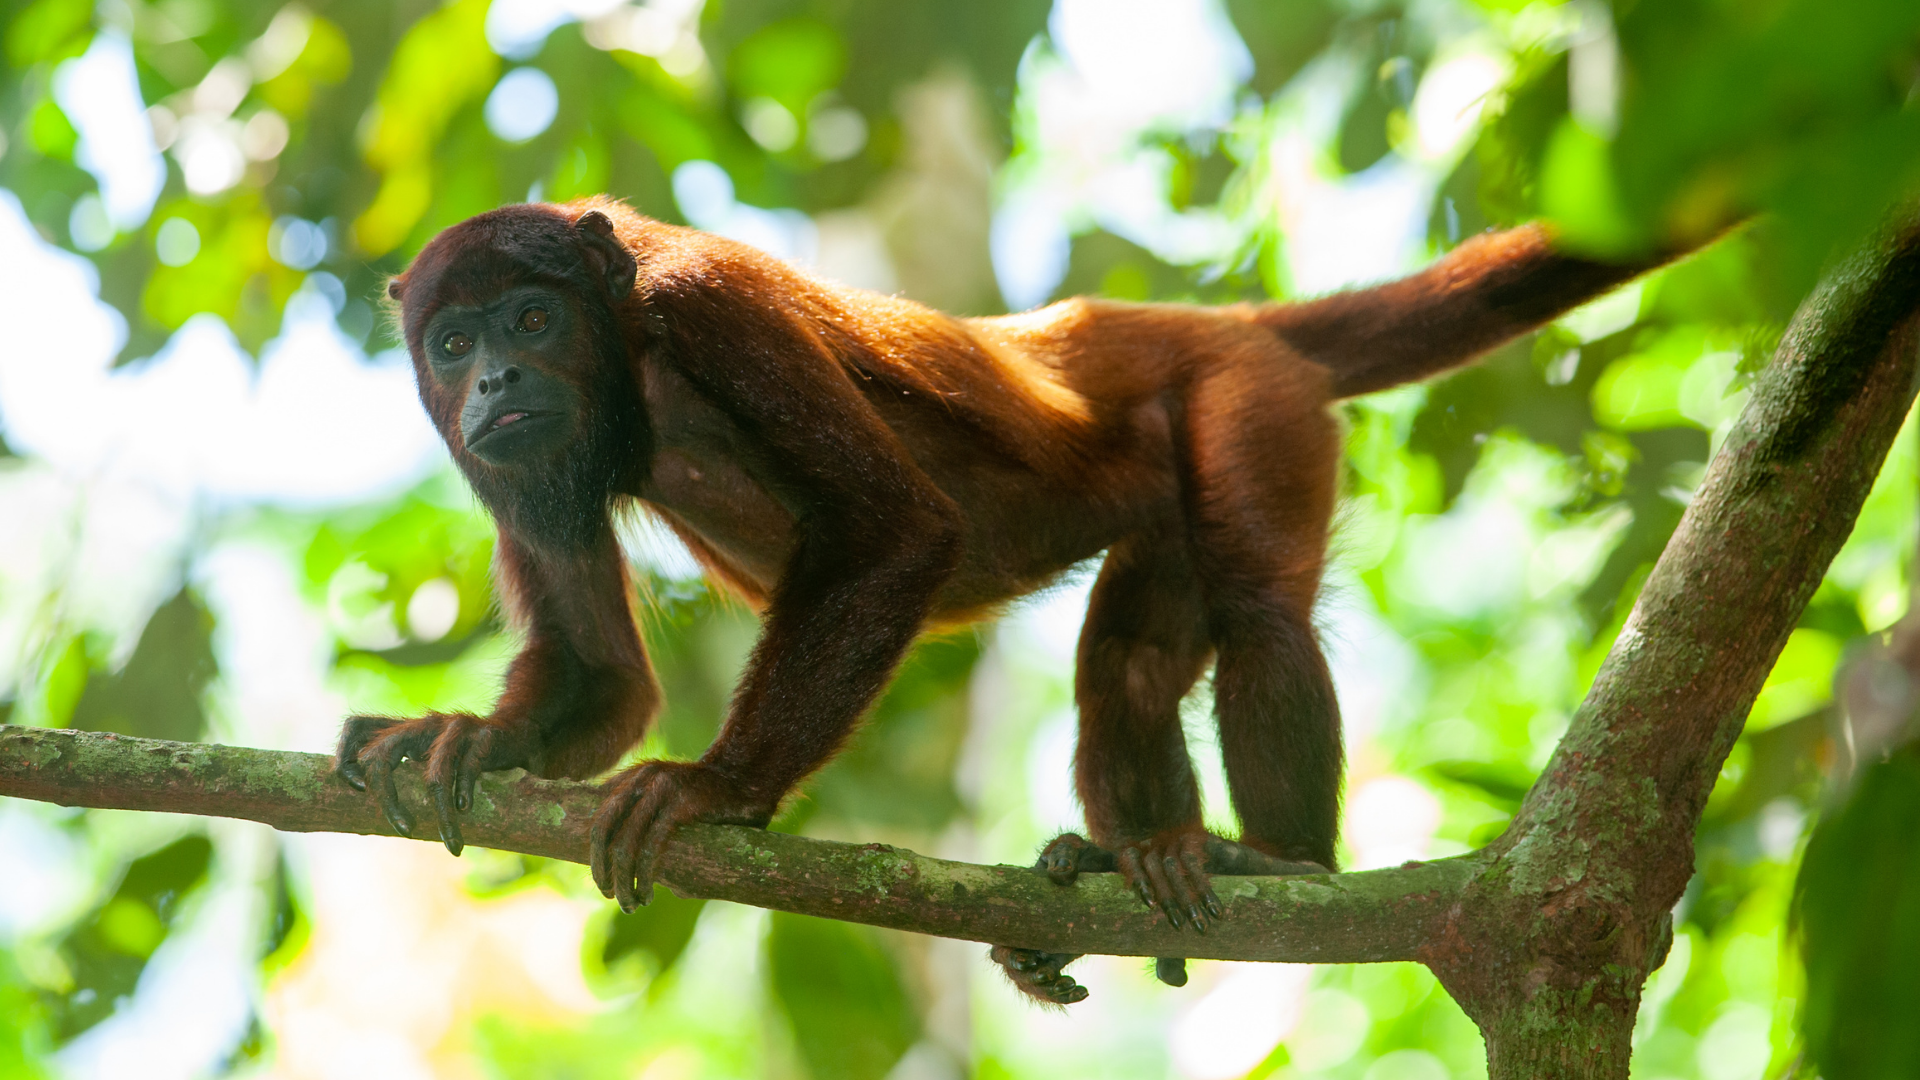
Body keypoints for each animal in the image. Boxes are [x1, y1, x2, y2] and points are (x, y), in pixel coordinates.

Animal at [334, 195, 1672, 1004]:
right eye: (451, 345)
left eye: (530, 316)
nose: (496, 380)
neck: (628, 357)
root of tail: (1188, 320)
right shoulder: (506, 461)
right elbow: (605, 679)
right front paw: (468, 737)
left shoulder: (709, 304)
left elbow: (900, 534)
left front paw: (716, 788)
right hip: (1163, 487)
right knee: (1128, 664)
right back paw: (1127, 867)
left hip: (1247, 398)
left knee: (1259, 608)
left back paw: (1278, 859)